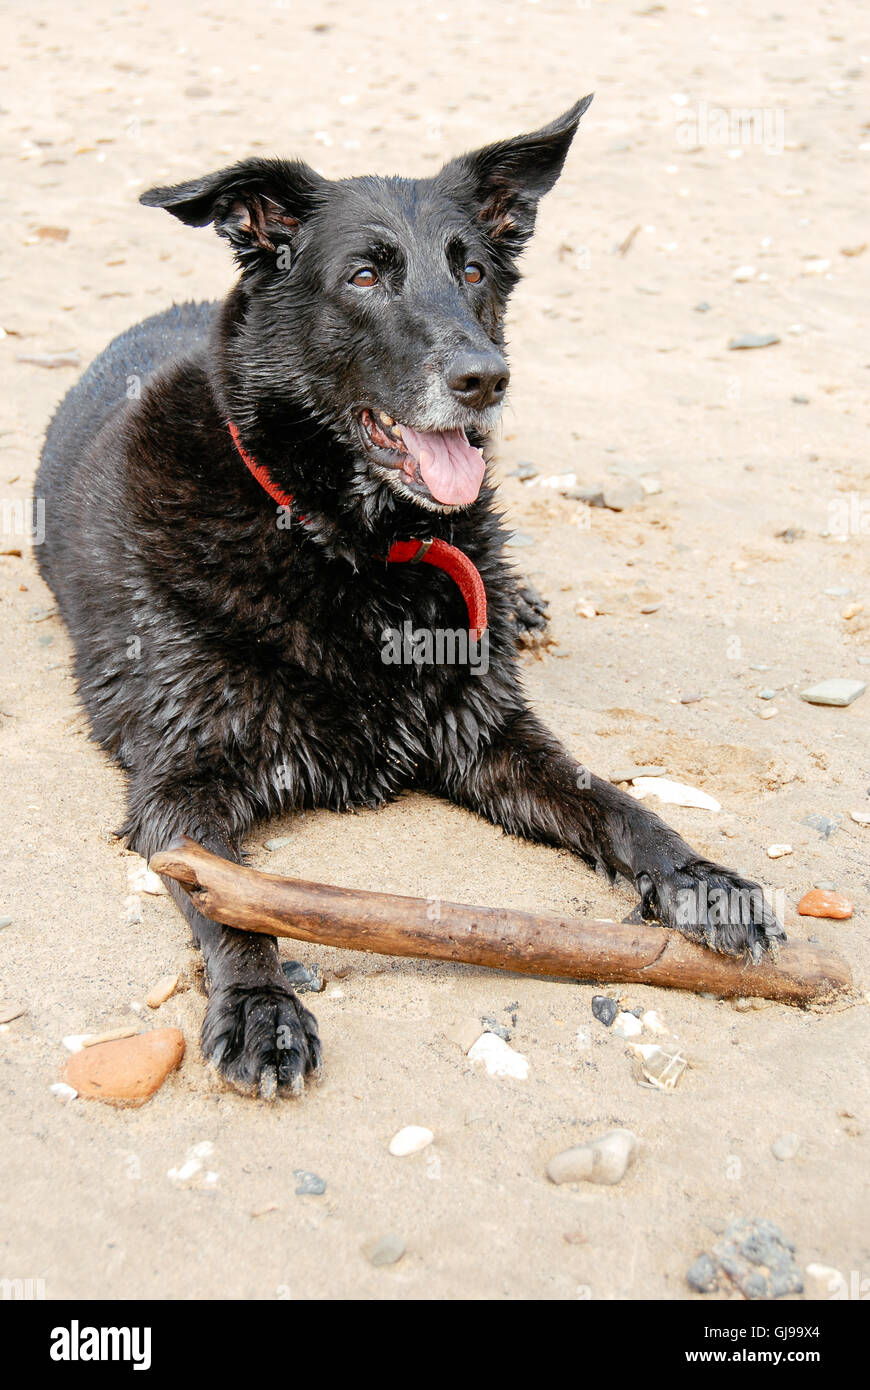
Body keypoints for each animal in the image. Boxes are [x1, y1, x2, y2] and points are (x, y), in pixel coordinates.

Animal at [35, 100, 778, 1095]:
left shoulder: (489, 733)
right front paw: (261, 1004)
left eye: (472, 269)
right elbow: (236, 907)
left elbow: (619, 804)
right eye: (363, 275)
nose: (485, 378)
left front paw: (700, 875)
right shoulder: (181, 781)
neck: (352, 544)